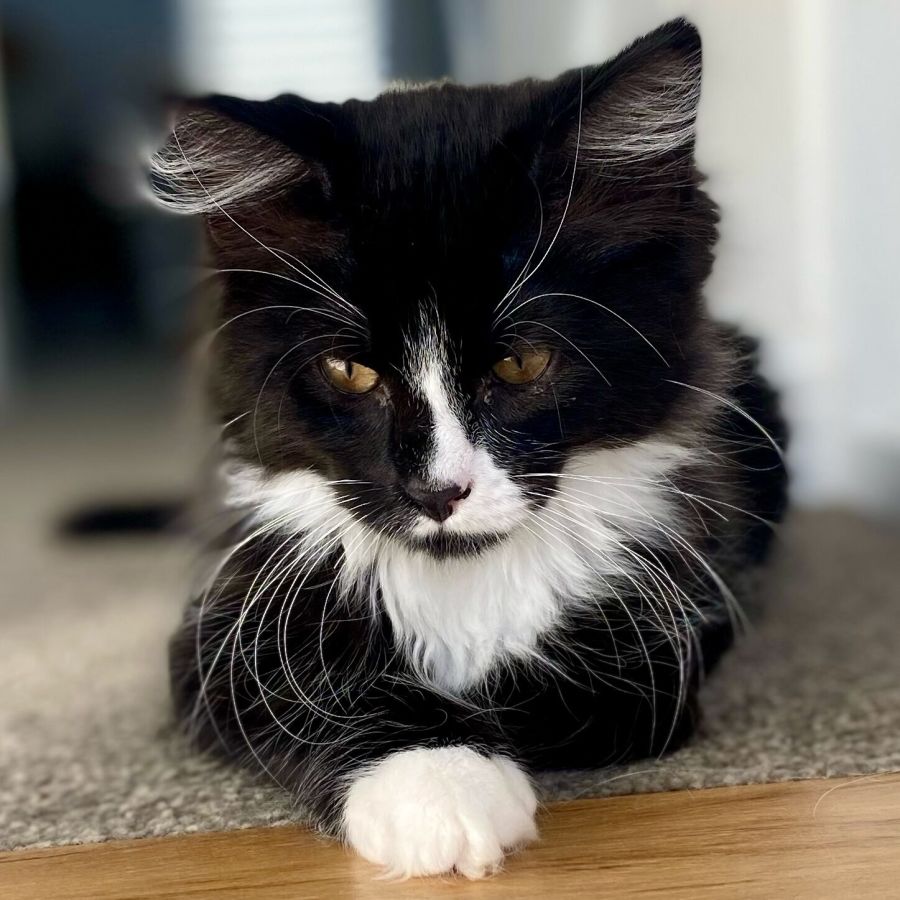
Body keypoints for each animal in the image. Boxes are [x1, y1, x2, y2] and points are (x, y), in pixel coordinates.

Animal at [152, 18, 788, 878]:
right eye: (349, 371)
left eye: (520, 365)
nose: (436, 492)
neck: (462, 579)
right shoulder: (226, 618)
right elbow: (313, 679)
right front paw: (440, 780)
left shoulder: (676, 618)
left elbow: (589, 695)